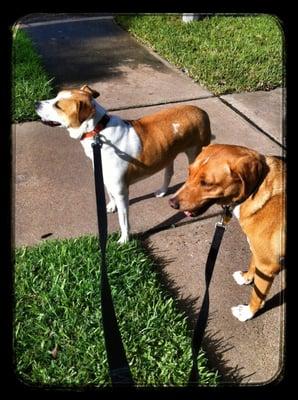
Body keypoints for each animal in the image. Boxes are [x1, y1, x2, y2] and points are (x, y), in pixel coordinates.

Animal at [35, 84, 212, 244]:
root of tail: (201, 111)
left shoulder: (122, 191)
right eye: (55, 97)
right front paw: (111, 206)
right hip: (168, 153)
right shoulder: (105, 177)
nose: (35, 103)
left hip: (195, 154)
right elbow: (109, 194)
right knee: (169, 172)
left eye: (58, 105)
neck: (98, 131)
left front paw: (124, 239)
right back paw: (162, 191)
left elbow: (123, 219)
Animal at [169, 144, 286, 322]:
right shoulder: (258, 253)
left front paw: (248, 312)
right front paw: (246, 278)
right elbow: (252, 264)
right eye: (189, 172)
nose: (172, 203)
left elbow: (257, 295)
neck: (256, 188)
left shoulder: (268, 265)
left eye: (207, 183)